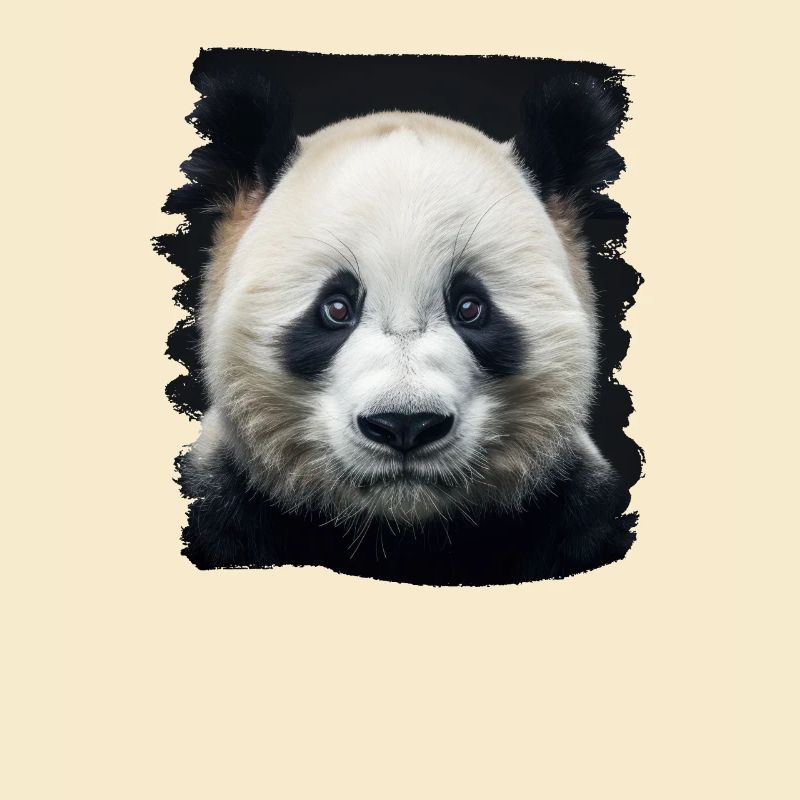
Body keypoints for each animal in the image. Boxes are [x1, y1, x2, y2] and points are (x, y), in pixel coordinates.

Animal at [163, 69, 637, 585]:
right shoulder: (224, 501)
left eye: (470, 308)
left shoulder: (574, 511)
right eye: (335, 308)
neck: (401, 534)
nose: (405, 425)